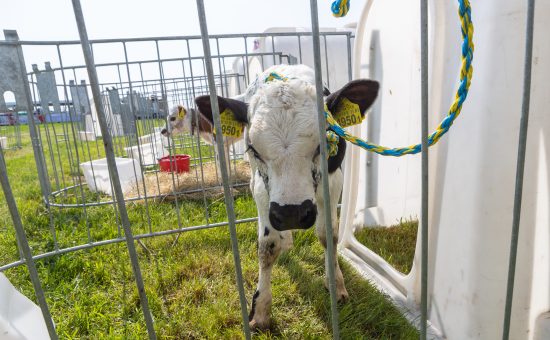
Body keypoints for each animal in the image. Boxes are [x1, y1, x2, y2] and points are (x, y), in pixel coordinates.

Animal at [194, 63, 380, 330]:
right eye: (253, 149)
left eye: (322, 145)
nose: (292, 213)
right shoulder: (261, 190)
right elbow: (267, 246)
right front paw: (260, 309)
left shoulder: (334, 180)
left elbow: (328, 235)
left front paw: (335, 283)